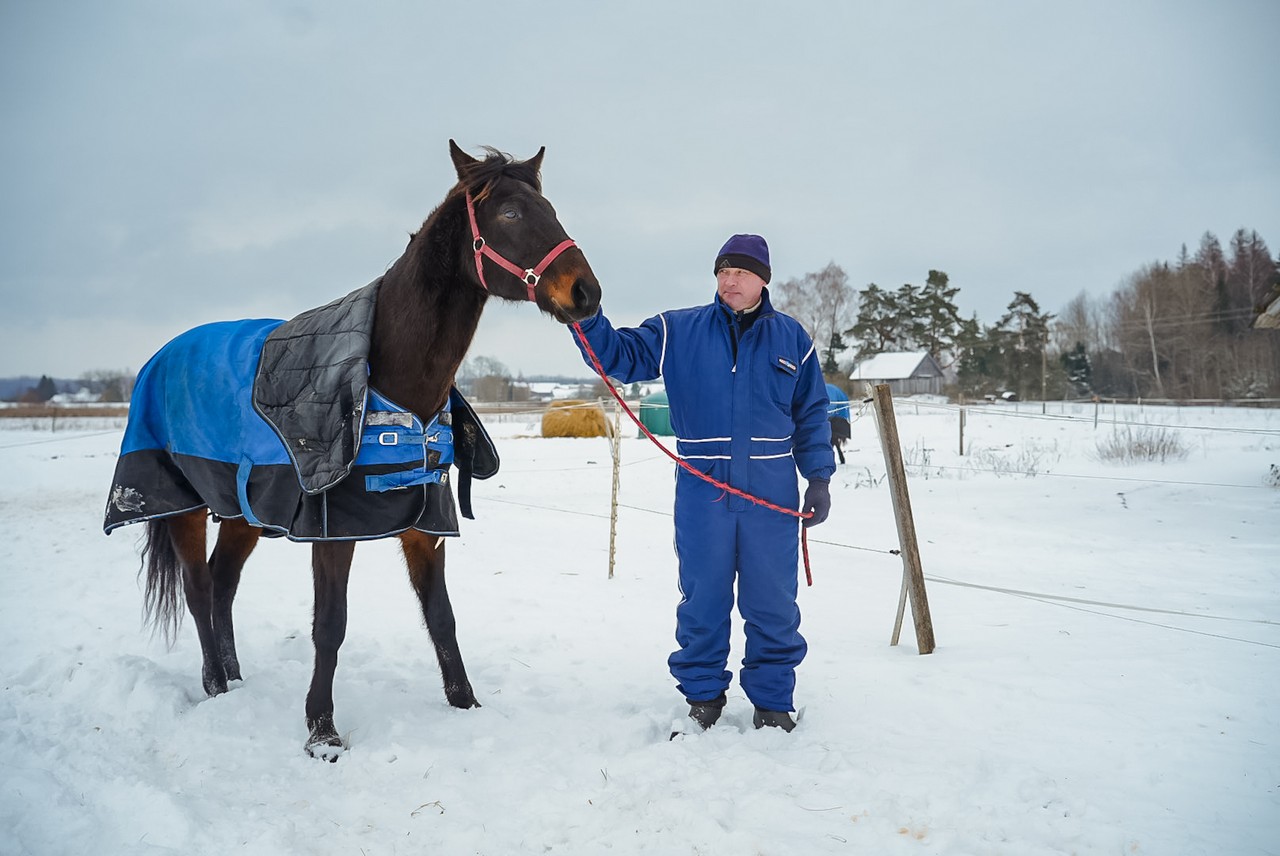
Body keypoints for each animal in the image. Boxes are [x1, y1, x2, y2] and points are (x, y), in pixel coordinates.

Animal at [103, 142, 599, 762]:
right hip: (185, 507)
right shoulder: (332, 531)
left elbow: (442, 618)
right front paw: (321, 731)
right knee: (198, 589)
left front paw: (466, 706)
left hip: (243, 513)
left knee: (222, 585)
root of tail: (162, 356)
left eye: (549, 208)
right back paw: (215, 686)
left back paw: (236, 679)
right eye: (509, 214)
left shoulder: (425, 524)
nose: (586, 293)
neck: (392, 377)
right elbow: (330, 626)